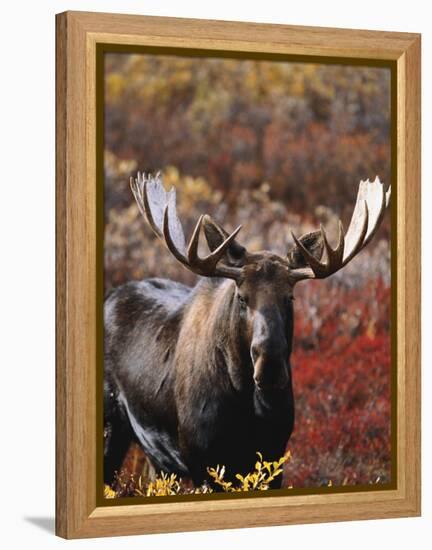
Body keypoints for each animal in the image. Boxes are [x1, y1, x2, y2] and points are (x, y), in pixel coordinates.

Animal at [103, 174, 390, 492]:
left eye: (290, 297)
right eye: (242, 297)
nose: (270, 366)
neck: (244, 402)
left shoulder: (274, 455)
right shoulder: (201, 460)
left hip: (158, 460)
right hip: (112, 426)